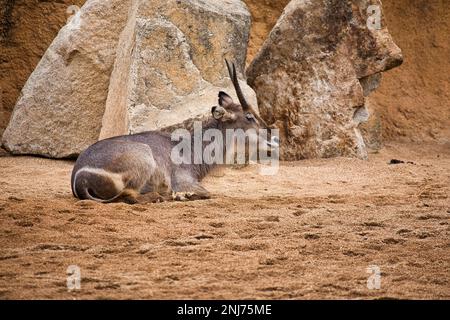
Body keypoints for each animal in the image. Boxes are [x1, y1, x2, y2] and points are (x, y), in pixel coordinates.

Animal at [71, 61, 278, 204]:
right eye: (249, 116)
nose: (274, 140)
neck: (192, 148)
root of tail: (79, 178)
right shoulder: (184, 181)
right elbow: (206, 193)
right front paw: (182, 195)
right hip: (144, 157)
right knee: (131, 195)